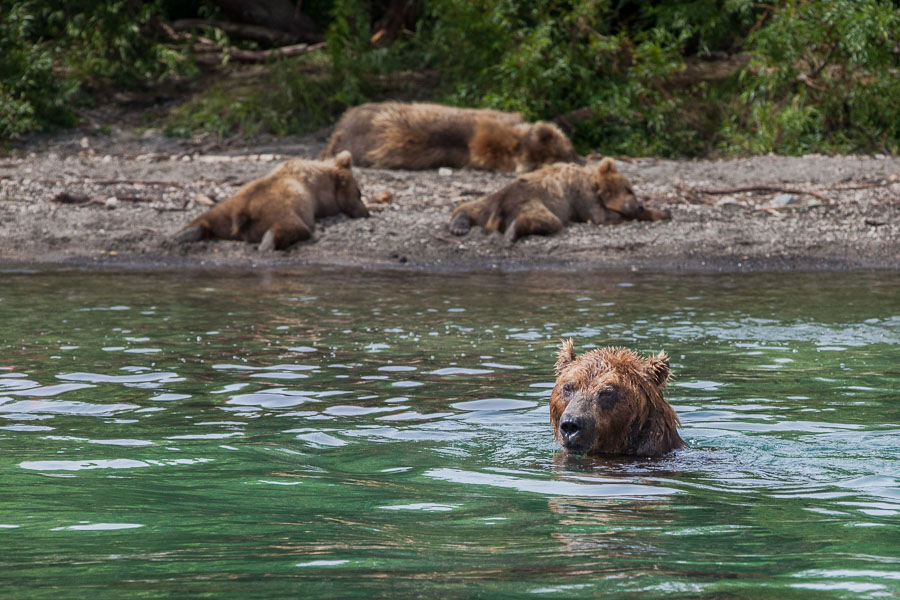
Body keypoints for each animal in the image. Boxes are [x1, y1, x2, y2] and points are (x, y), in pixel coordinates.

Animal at [174, 152, 368, 253]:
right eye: (359, 193)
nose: (366, 212)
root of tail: (242, 212)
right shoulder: (320, 200)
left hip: (226, 208)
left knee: (204, 219)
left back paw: (179, 236)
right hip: (280, 212)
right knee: (292, 227)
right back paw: (267, 245)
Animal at [448, 162, 668, 244]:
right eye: (629, 189)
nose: (639, 205)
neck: (594, 183)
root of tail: (499, 207)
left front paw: (663, 212)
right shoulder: (581, 195)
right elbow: (602, 216)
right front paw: (656, 212)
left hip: (492, 198)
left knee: (471, 206)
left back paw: (459, 225)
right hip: (530, 201)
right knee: (549, 220)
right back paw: (514, 229)